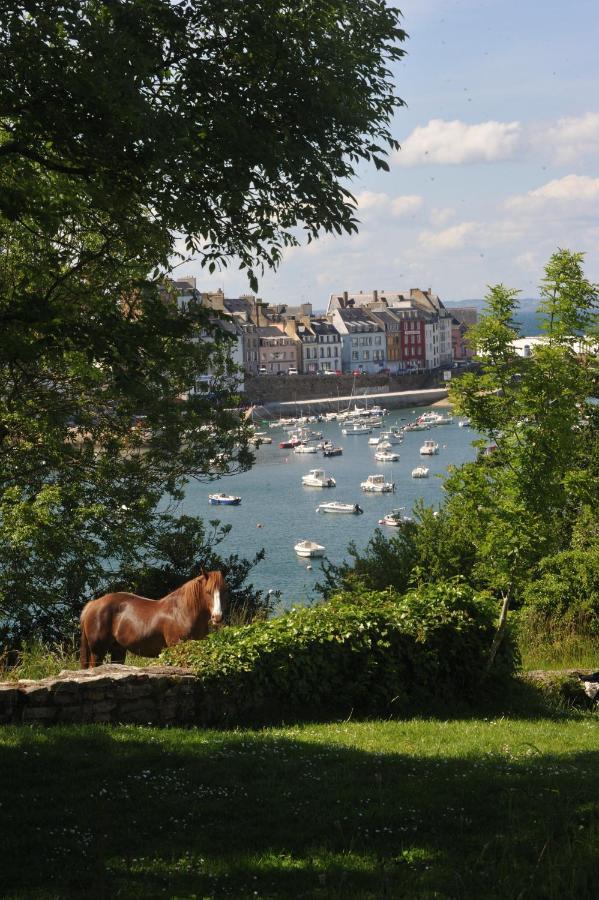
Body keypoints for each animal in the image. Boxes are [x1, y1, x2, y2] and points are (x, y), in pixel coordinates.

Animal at [79, 568, 227, 668]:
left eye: (224, 591)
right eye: (208, 592)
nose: (217, 616)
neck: (183, 613)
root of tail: (93, 604)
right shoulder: (178, 652)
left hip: (118, 650)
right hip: (97, 652)